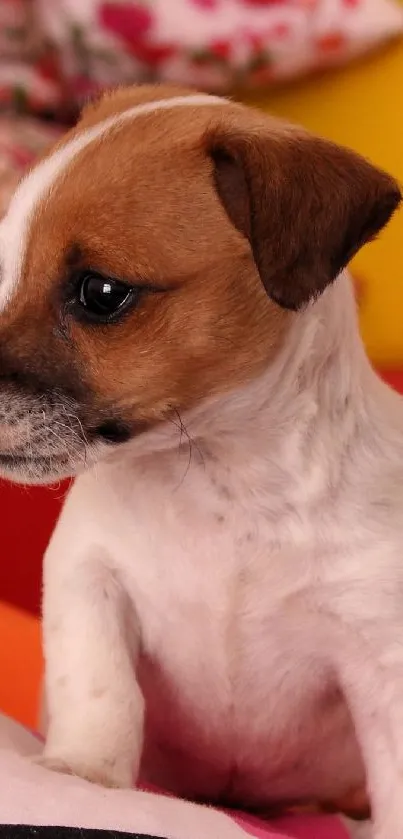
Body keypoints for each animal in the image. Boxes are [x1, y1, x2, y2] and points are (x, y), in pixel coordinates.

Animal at [0, 87, 400, 839]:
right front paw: (85, 773)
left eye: (100, 293)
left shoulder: (378, 652)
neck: (219, 474)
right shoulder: (88, 577)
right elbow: (100, 687)